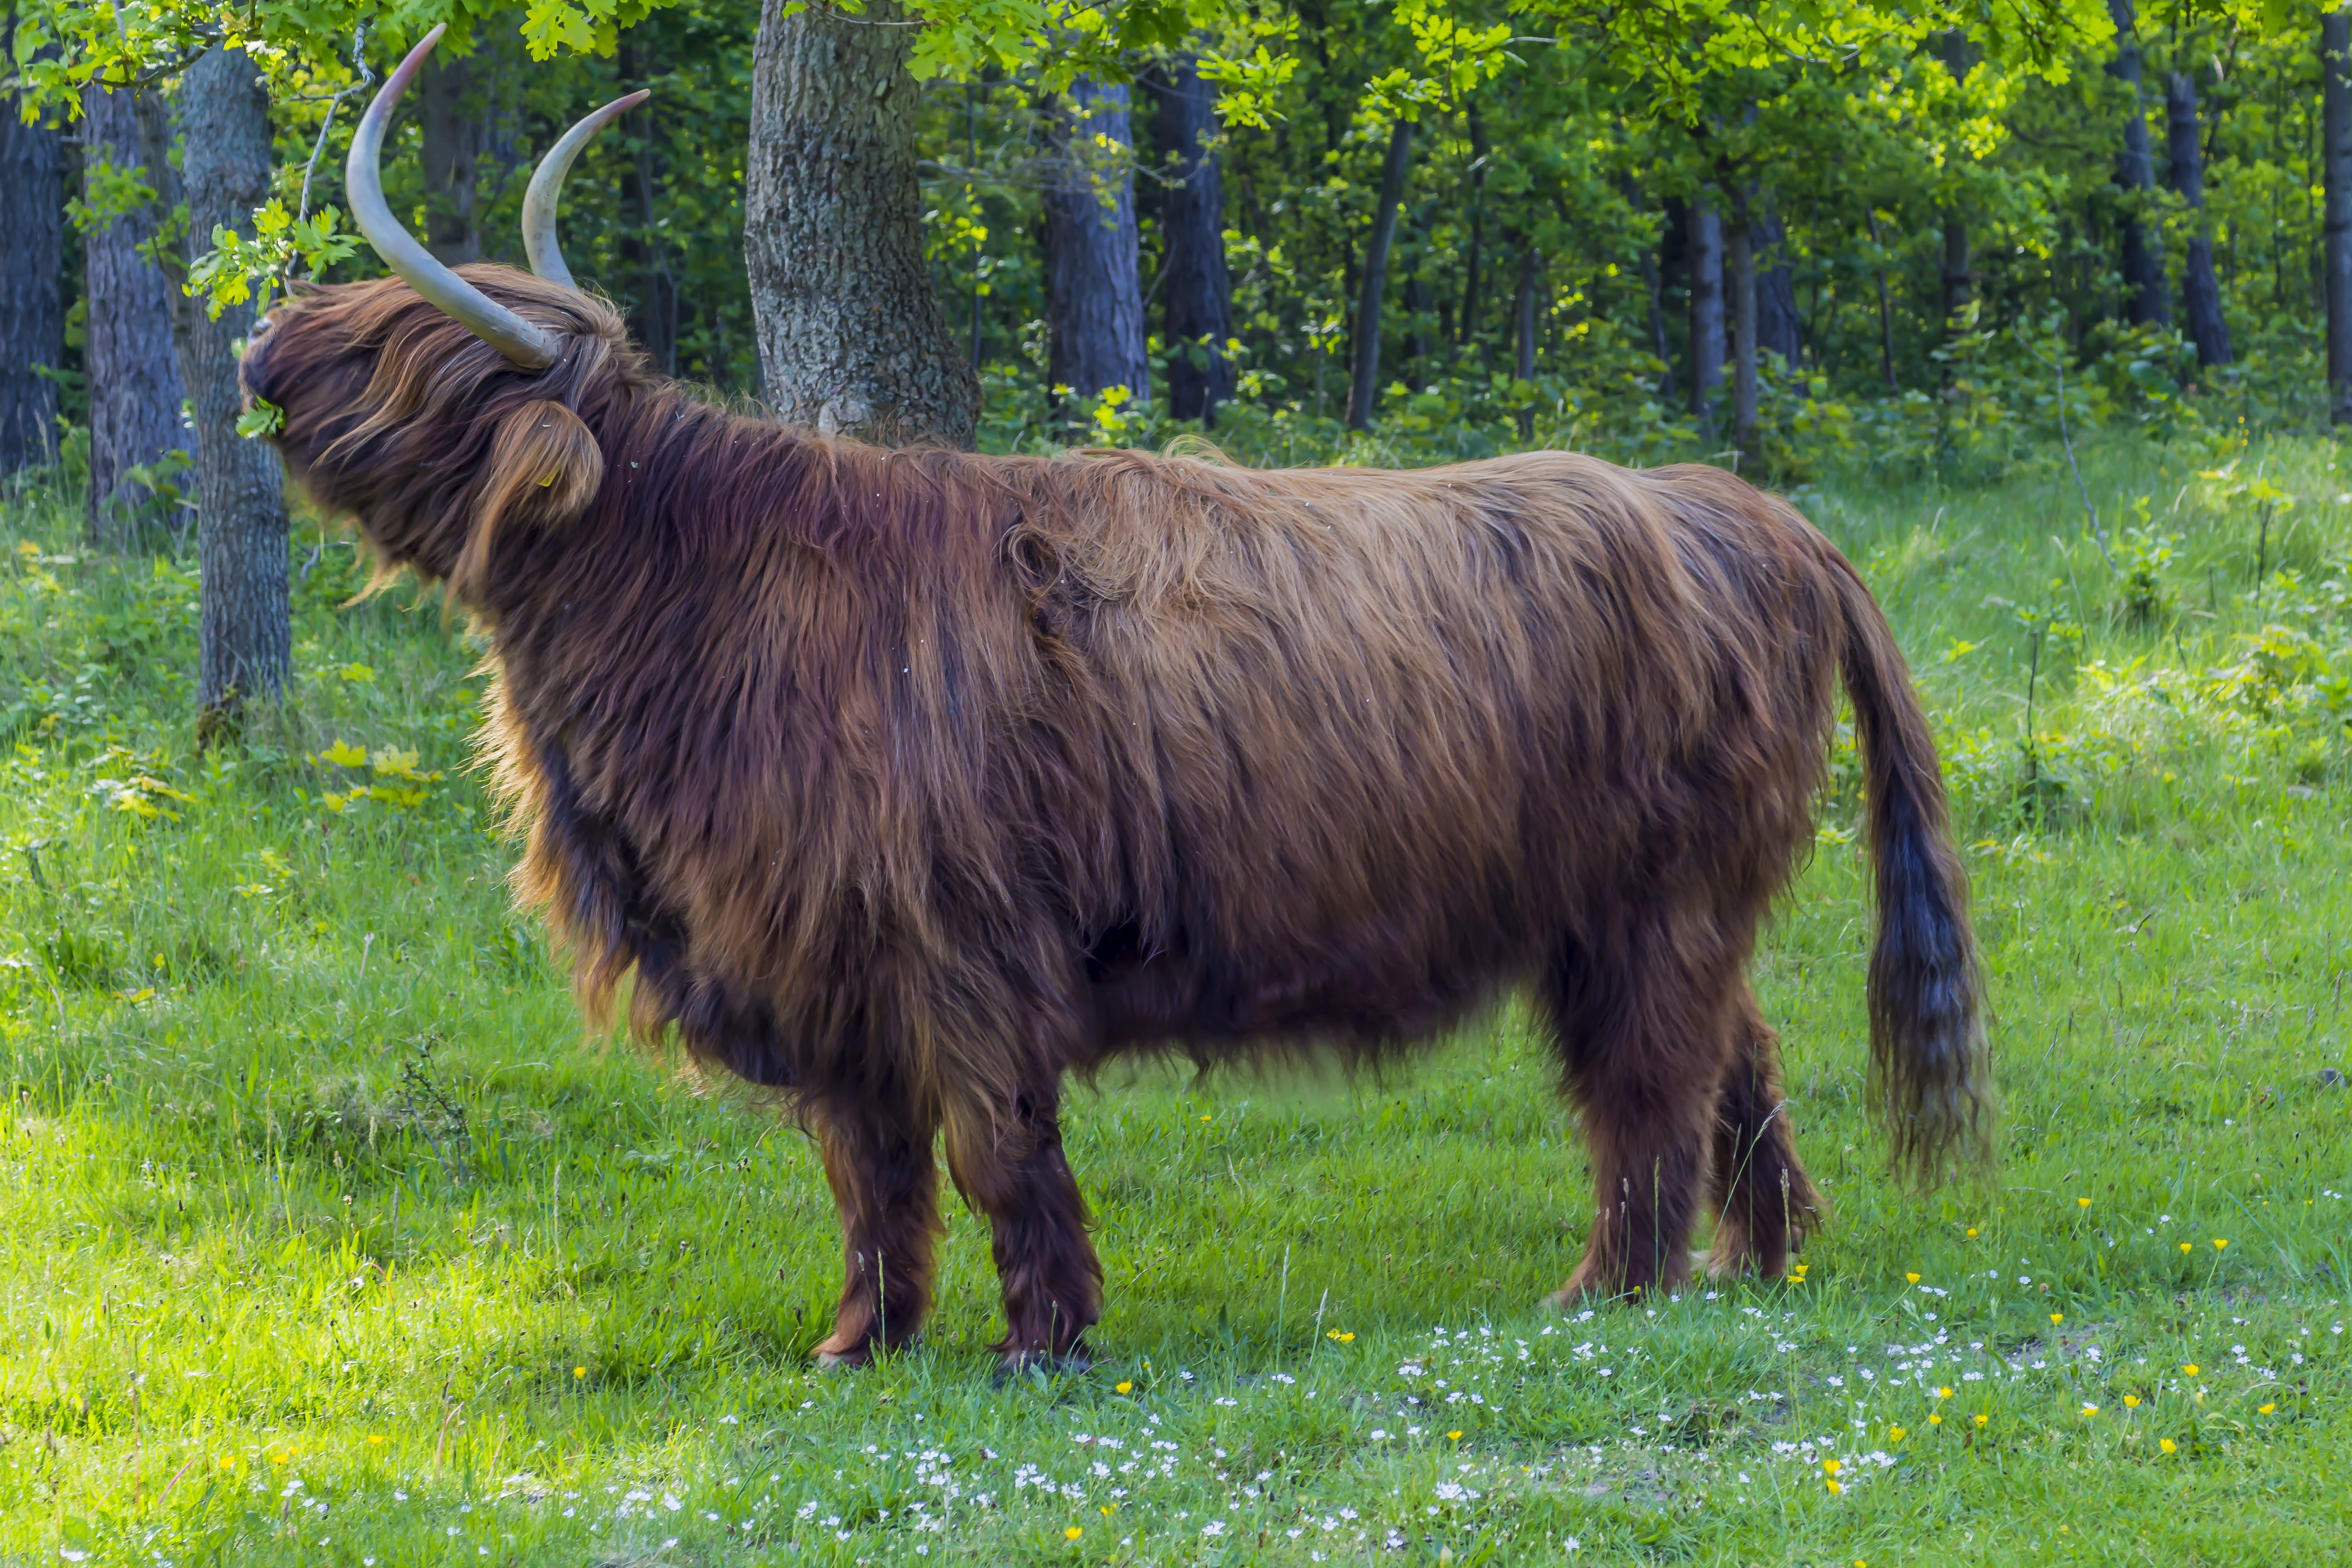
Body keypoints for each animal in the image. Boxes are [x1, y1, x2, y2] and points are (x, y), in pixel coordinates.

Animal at [238, 28, 1990, 1372]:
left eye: (416, 347)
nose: (258, 354)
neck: (700, 594)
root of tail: (1752, 513)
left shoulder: (956, 942)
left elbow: (993, 1147)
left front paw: (1042, 1342)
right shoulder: (823, 963)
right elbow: (869, 1173)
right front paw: (858, 1344)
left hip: (1649, 900)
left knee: (1647, 1086)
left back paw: (1607, 1289)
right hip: (1646, 908)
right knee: (1730, 1057)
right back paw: (1755, 1264)